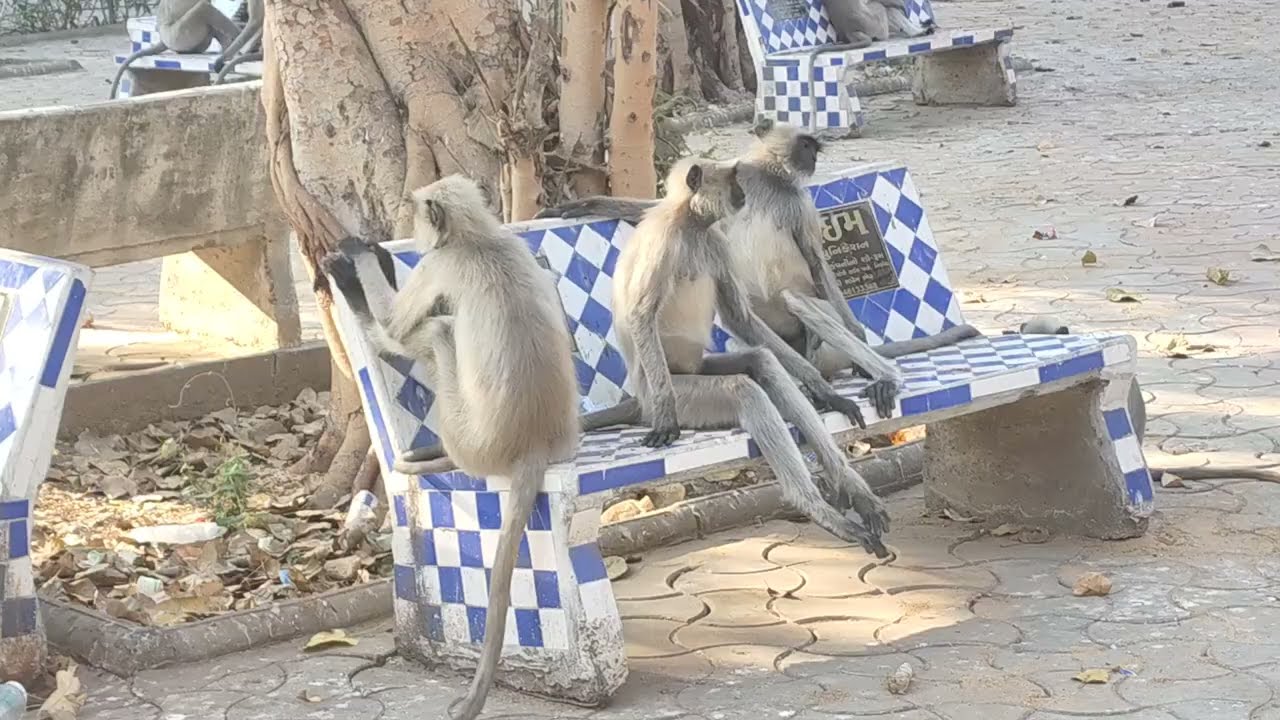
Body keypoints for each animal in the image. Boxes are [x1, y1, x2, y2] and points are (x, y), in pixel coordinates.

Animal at [322, 175, 580, 720]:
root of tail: (535, 441)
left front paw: (359, 260)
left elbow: (399, 324)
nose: (408, 229)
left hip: (468, 433)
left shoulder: (438, 265)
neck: (478, 237)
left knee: (434, 330)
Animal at [537, 120, 981, 421]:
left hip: (810, 335)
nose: (814, 157)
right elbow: (656, 207)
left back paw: (875, 372)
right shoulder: (743, 182)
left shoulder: (798, 204)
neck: (770, 178)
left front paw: (859, 337)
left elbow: (816, 261)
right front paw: (588, 204)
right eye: (806, 144)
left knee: (796, 298)